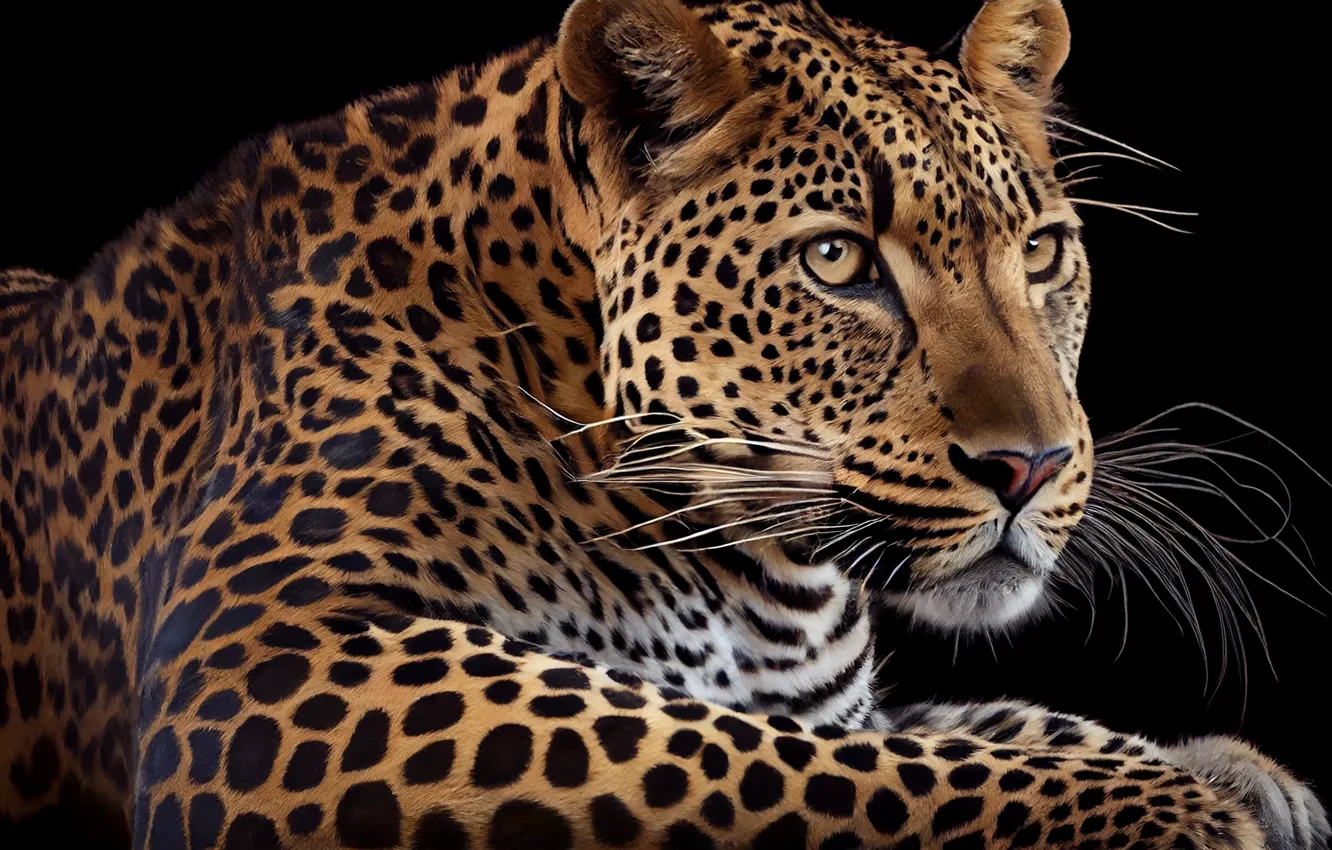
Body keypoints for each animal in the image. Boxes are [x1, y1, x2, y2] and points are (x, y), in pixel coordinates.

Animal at [1, 0, 1327, 847]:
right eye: (839, 261)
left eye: (1043, 253)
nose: (1034, 464)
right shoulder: (264, 663)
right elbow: (768, 755)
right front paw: (1168, 809)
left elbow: (949, 723)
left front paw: (1239, 774)